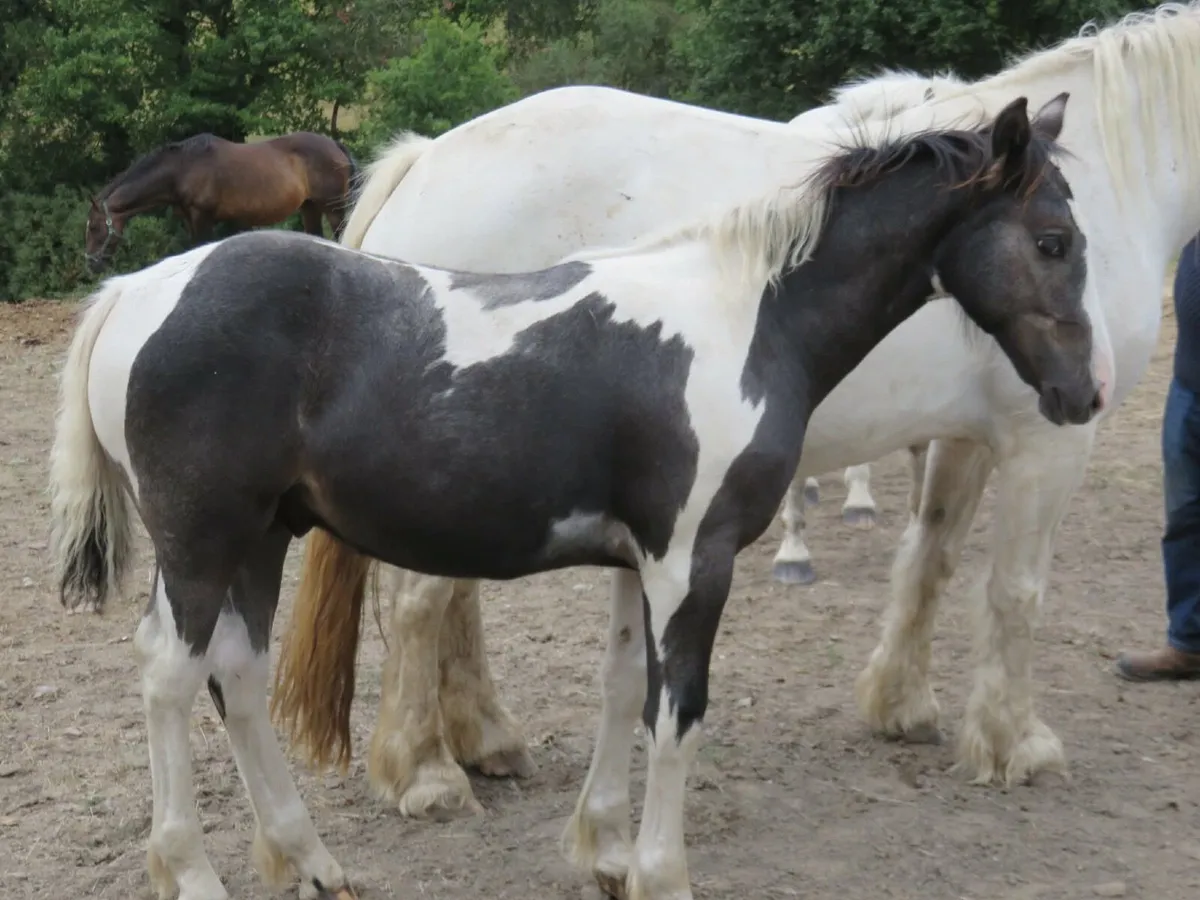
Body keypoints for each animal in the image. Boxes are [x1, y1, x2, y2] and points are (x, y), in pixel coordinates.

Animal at [83, 131, 359, 273]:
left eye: (95, 228)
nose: (92, 264)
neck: (182, 169)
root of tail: (335, 145)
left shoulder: (202, 217)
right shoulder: (191, 220)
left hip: (333, 209)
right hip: (310, 208)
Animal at [274, 0, 1200, 822]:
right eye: (1053, 243)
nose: (1094, 380)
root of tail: (427, 160)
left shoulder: (968, 437)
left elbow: (930, 561)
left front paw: (901, 704)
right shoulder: (1047, 438)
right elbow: (1016, 592)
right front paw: (1016, 744)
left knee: (453, 597)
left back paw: (485, 739)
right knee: (421, 603)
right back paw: (426, 773)